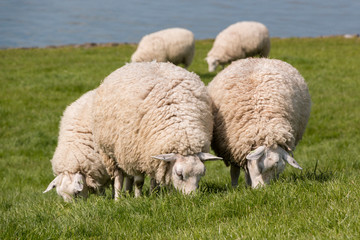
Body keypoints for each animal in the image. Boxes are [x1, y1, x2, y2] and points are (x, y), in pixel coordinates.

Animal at [92, 62, 222, 199]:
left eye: (201, 174)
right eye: (179, 174)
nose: (192, 198)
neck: (182, 134)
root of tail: (150, 62)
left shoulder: (152, 155)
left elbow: (154, 178)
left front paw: (154, 194)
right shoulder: (136, 154)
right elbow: (139, 181)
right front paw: (138, 198)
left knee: (128, 177)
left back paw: (128, 192)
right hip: (110, 152)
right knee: (118, 177)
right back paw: (118, 198)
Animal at [208, 57, 312, 188]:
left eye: (278, 171)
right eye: (260, 167)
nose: (262, 189)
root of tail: (257, 58)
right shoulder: (232, 149)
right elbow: (234, 172)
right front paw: (234, 187)